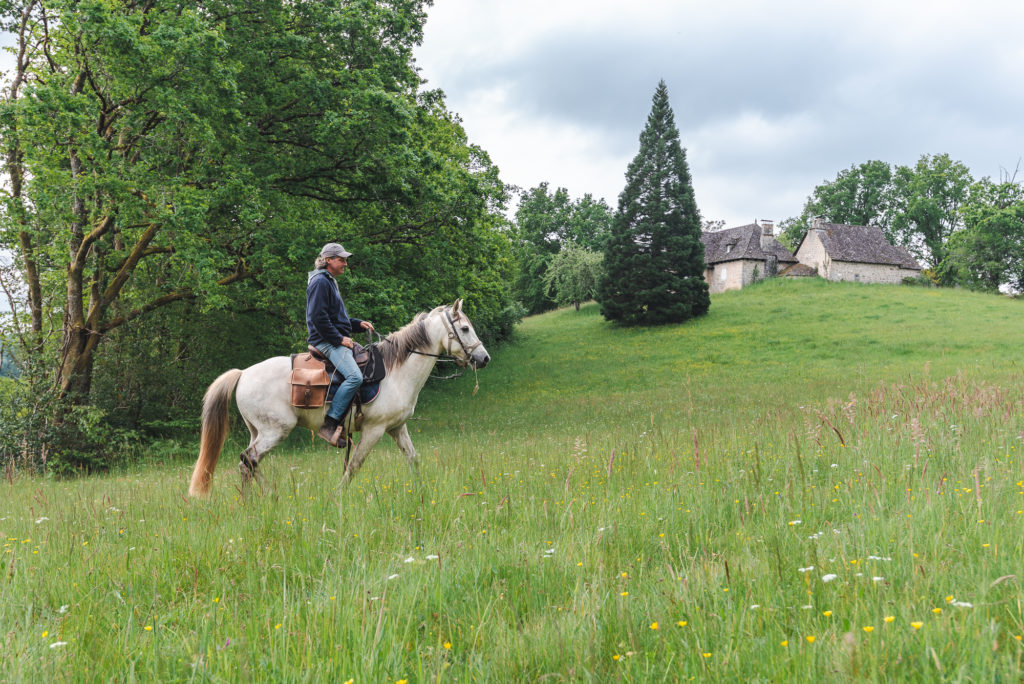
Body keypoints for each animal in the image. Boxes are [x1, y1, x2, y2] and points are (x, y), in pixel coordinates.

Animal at [189, 298, 491, 497]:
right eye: (465, 329)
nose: (483, 358)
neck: (396, 371)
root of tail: (243, 374)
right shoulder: (374, 430)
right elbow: (355, 465)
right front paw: (338, 495)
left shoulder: (397, 427)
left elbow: (413, 458)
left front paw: (421, 490)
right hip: (275, 431)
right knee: (248, 460)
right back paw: (263, 498)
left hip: (258, 431)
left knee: (248, 463)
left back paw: (259, 499)